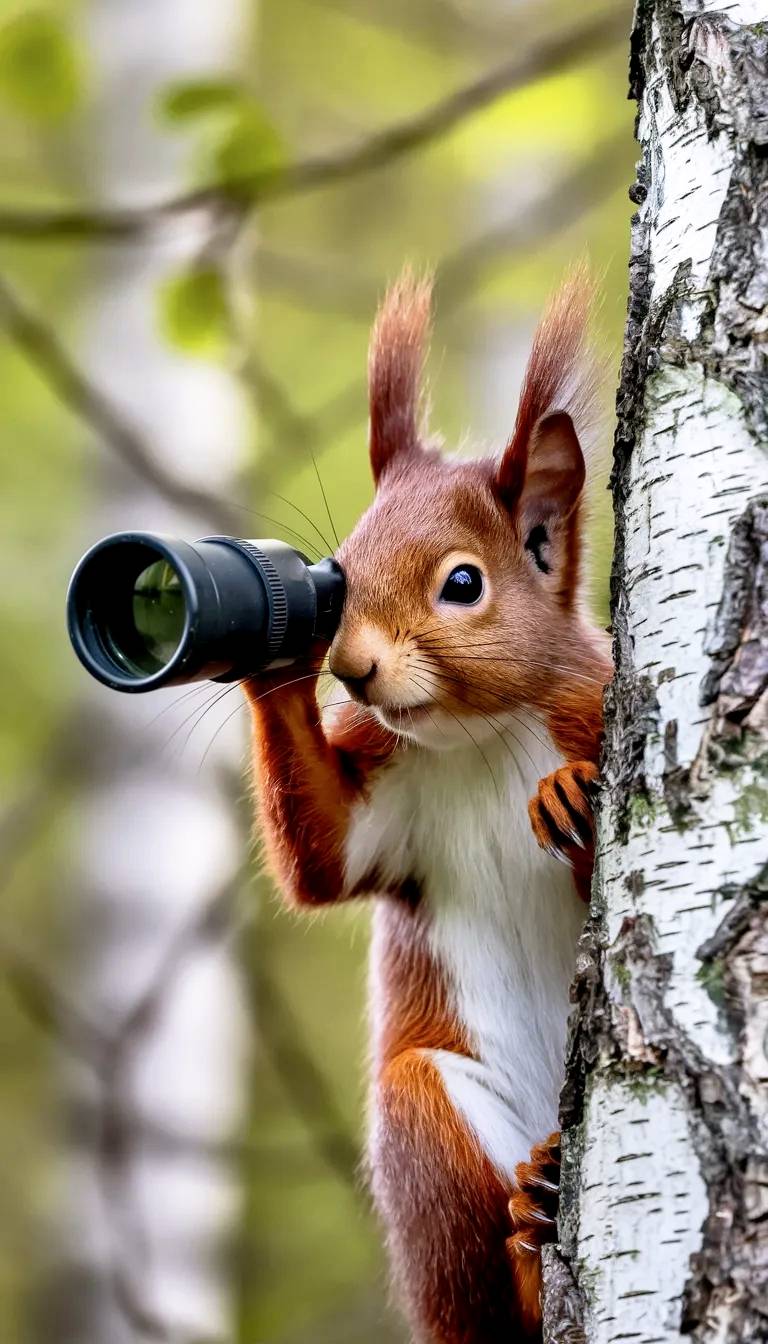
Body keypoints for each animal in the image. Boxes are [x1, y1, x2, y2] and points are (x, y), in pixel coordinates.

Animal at [245, 267, 612, 1343]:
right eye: (344, 570)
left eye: (463, 583)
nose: (353, 666)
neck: (479, 743)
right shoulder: (386, 801)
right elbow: (322, 863)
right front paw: (272, 654)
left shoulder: (594, 706)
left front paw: (568, 795)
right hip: (428, 1118)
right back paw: (532, 1228)